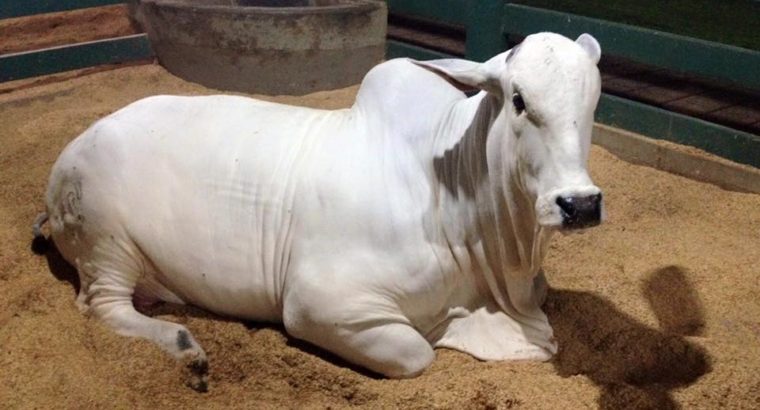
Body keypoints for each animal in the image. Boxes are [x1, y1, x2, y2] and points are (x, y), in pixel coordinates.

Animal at [34, 32, 603, 390]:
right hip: (107, 243)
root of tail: (70, 152)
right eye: (519, 100)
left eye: (593, 103)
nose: (578, 203)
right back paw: (185, 348)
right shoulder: (320, 304)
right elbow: (419, 351)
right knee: (103, 307)